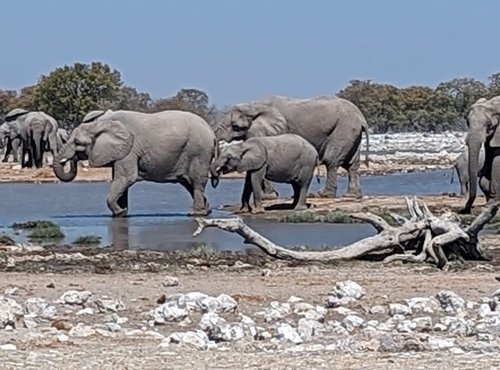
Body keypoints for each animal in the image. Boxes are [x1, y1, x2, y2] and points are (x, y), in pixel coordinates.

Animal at [52, 109, 217, 217]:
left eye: (78, 143)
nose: (72, 159)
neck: (100, 124)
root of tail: (211, 131)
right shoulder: (121, 152)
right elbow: (121, 181)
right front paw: (123, 213)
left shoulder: (129, 150)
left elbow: (126, 178)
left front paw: (120, 213)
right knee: (188, 183)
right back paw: (207, 210)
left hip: (199, 152)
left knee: (196, 181)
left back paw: (195, 214)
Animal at [217, 95, 370, 199]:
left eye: (235, 126)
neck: (253, 106)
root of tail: (362, 118)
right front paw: (271, 196)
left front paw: (269, 197)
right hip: (352, 134)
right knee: (352, 164)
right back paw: (351, 196)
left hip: (343, 130)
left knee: (331, 161)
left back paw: (323, 195)